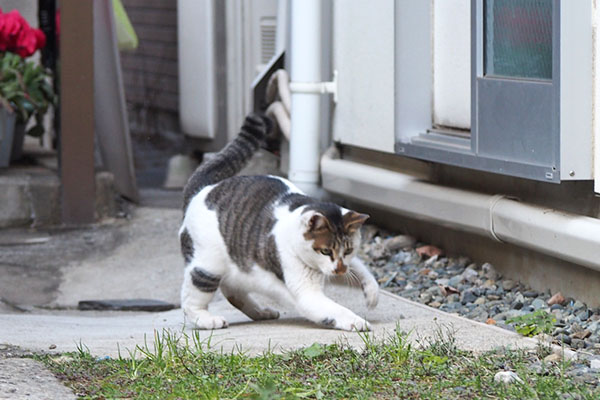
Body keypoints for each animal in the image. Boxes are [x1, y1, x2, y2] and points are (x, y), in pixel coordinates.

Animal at [177, 111, 380, 332]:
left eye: (349, 249)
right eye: (325, 251)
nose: (339, 269)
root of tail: (203, 189)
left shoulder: (340, 267)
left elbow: (362, 270)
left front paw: (372, 293)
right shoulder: (307, 293)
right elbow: (337, 310)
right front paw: (358, 321)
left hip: (237, 272)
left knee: (233, 291)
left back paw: (261, 312)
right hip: (206, 267)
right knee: (190, 300)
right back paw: (207, 320)